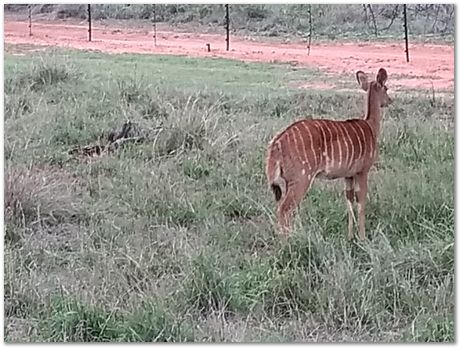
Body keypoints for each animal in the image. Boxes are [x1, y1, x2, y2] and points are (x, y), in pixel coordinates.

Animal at [266, 67, 392, 239]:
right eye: (386, 88)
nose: (390, 100)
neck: (370, 126)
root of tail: (277, 144)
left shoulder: (348, 175)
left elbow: (349, 201)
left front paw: (349, 236)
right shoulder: (362, 171)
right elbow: (361, 202)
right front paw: (362, 237)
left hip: (288, 181)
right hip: (302, 178)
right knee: (285, 208)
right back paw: (287, 240)